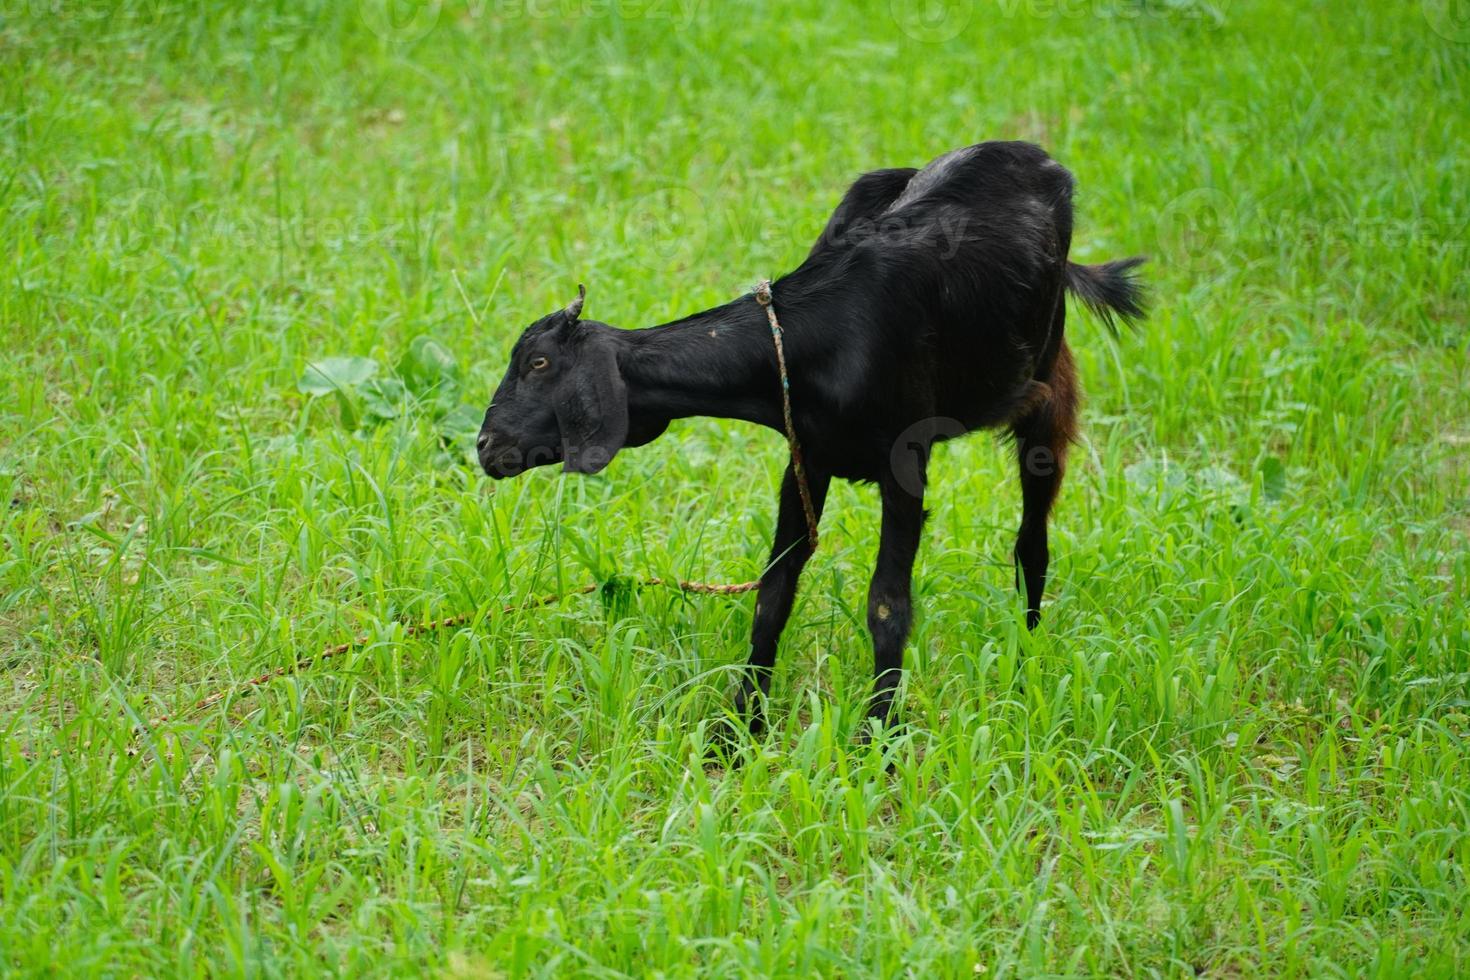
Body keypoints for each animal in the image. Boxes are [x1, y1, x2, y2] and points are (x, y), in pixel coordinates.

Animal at [476, 141, 1140, 740]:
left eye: (537, 363)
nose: (485, 445)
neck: (825, 337)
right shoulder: (807, 458)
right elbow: (773, 591)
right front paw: (737, 732)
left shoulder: (905, 462)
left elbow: (887, 605)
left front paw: (879, 740)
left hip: (1045, 389)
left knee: (1032, 542)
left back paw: (1027, 666)